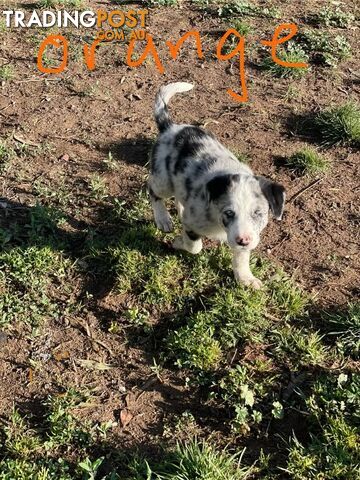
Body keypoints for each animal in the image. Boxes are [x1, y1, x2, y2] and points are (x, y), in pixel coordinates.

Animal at [148, 82, 286, 288]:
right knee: (152, 189)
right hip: (163, 181)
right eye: (229, 213)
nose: (243, 240)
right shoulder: (193, 225)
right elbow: (194, 246)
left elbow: (241, 258)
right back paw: (163, 219)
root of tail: (170, 128)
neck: (218, 222)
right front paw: (178, 242)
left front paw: (245, 278)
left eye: (258, 213)